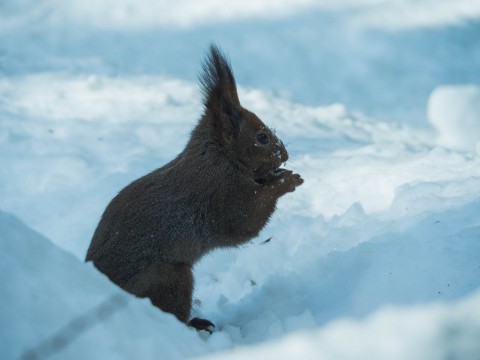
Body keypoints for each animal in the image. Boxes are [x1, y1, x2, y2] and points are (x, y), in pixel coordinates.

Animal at [85, 45, 304, 332]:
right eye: (262, 138)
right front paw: (286, 181)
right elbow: (247, 221)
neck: (218, 157)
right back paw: (196, 325)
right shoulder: (222, 195)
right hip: (170, 279)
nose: (285, 155)